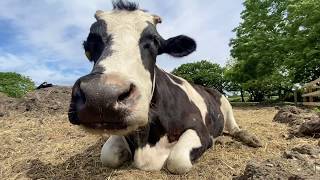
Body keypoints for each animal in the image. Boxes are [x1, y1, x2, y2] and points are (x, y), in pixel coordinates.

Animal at [68, 0, 262, 174]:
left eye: (155, 41)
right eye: (88, 46)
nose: (100, 96)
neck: (146, 143)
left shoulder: (199, 128)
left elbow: (177, 160)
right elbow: (108, 155)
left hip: (226, 104)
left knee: (234, 128)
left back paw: (248, 138)